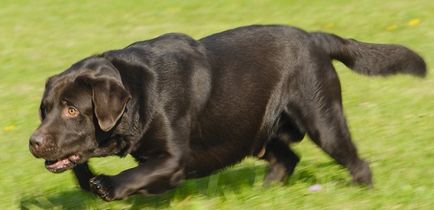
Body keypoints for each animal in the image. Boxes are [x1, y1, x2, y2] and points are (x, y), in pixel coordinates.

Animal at [28, 25, 428, 201]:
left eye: (71, 110)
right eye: (45, 110)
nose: (34, 142)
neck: (138, 93)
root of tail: (316, 37)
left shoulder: (173, 158)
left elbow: (134, 174)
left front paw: (107, 186)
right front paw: (88, 179)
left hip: (322, 119)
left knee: (357, 163)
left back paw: (365, 194)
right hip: (256, 130)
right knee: (287, 158)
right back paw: (264, 194)